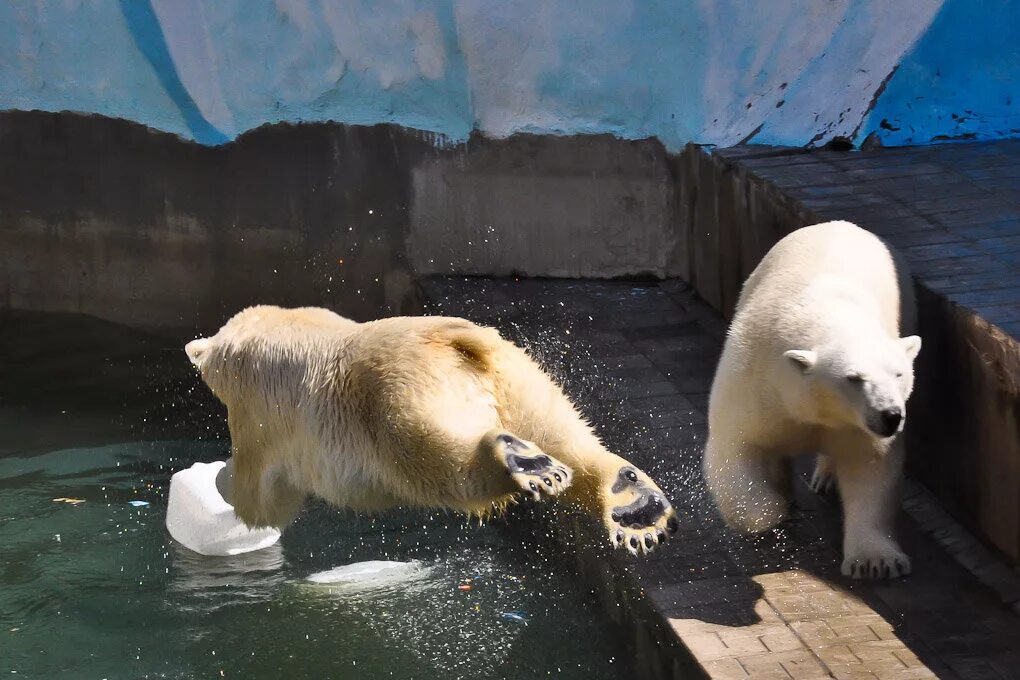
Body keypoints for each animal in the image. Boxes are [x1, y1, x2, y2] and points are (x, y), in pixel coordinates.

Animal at [183, 305, 677, 554]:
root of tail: (455, 341)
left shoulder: (258, 411)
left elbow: (261, 499)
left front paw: (216, 477)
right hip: (517, 373)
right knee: (560, 430)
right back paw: (634, 505)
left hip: (397, 399)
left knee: (442, 463)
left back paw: (521, 461)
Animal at [705, 222, 922, 579]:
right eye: (854, 378)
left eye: (899, 374)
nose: (890, 415)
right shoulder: (754, 380)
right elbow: (736, 447)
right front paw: (772, 509)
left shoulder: (857, 426)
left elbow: (870, 469)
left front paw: (876, 562)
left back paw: (826, 477)